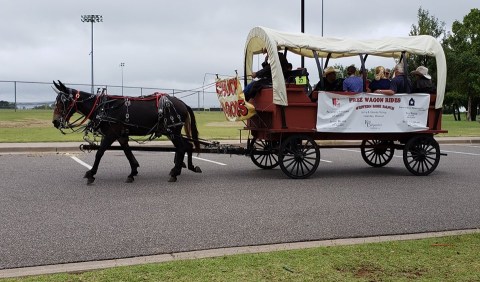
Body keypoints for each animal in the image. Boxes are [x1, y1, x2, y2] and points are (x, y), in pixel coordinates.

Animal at [51, 80, 202, 184]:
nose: (55, 122)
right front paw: (133, 172)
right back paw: (186, 167)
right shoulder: (120, 135)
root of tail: (182, 103)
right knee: (187, 146)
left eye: (62, 102)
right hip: (171, 132)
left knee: (182, 147)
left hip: (172, 131)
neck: (103, 108)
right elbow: (128, 153)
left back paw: (175, 173)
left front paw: (91, 173)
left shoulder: (111, 134)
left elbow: (99, 153)